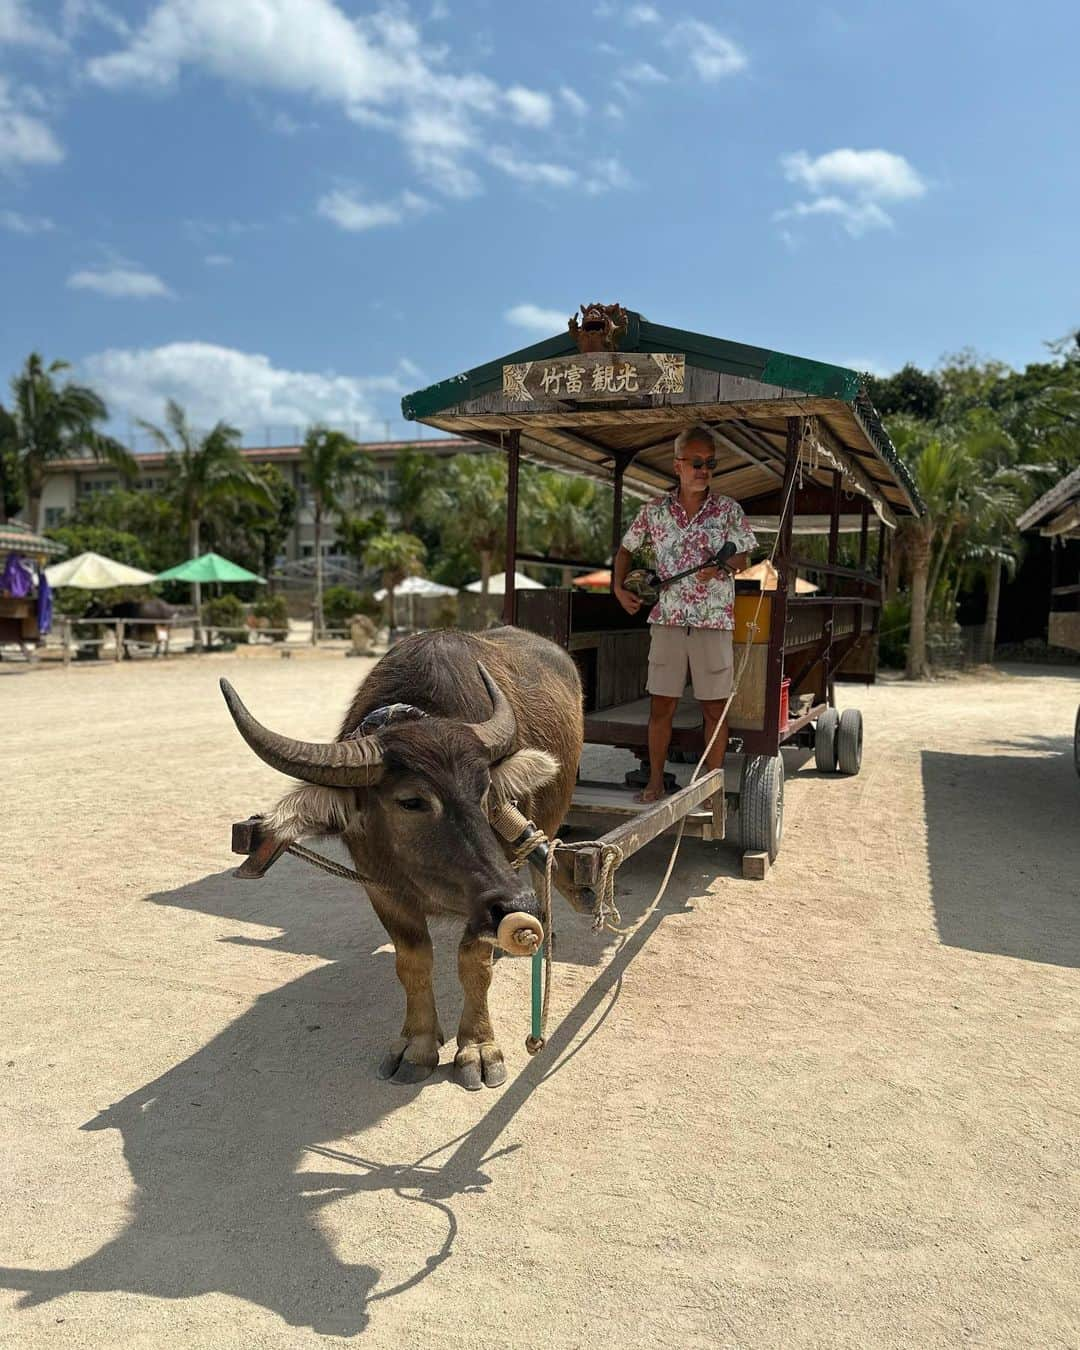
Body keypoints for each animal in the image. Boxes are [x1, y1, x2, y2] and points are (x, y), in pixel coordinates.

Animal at [220, 626, 585, 1090]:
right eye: (411, 801)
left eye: (484, 790)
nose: (517, 905)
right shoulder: (383, 889)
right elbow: (412, 962)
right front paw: (418, 1044)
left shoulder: (487, 896)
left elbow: (474, 964)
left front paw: (478, 1048)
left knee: (542, 868)